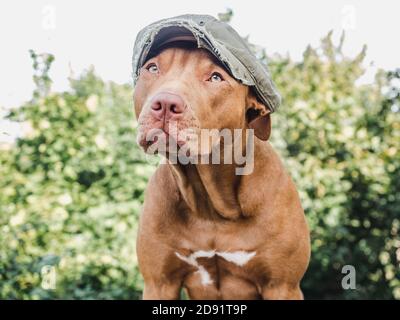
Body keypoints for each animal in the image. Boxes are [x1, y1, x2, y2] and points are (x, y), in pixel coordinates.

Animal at [134, 42, 310, 300]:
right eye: (152, 68)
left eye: (216, 77)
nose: (165, 104)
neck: (212, 206)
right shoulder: (159, 283)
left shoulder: (282, 285)